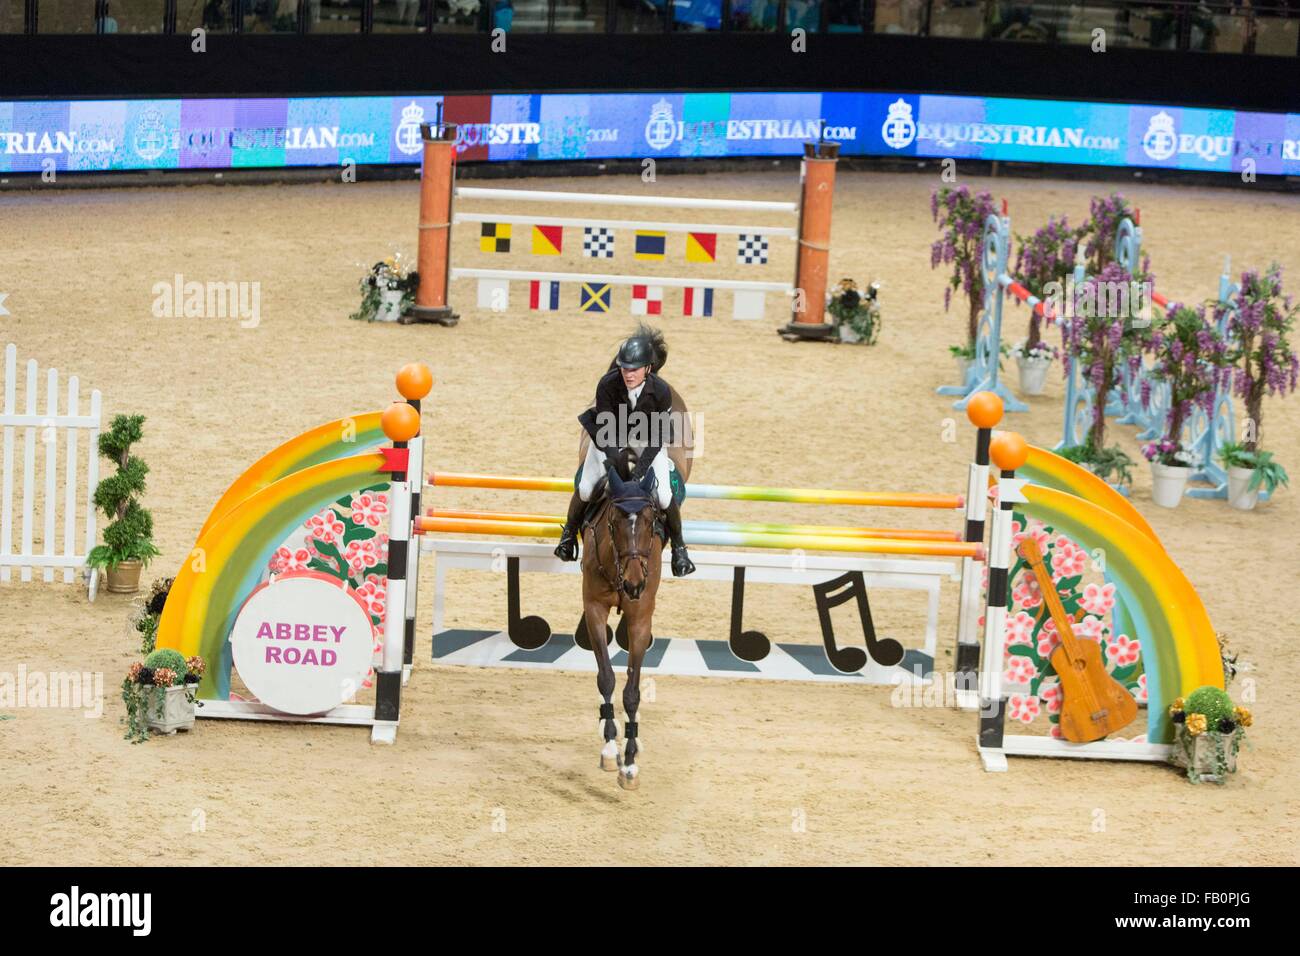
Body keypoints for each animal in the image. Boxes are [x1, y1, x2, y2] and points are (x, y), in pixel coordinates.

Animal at [576, 385, 693, 791]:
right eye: (612, 522)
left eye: (649, 521)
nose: (633, 583)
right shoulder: (595, 608)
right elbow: (607, 677)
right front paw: (611, 748)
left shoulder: (641, 616)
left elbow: (632, 689)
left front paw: (629, 761)